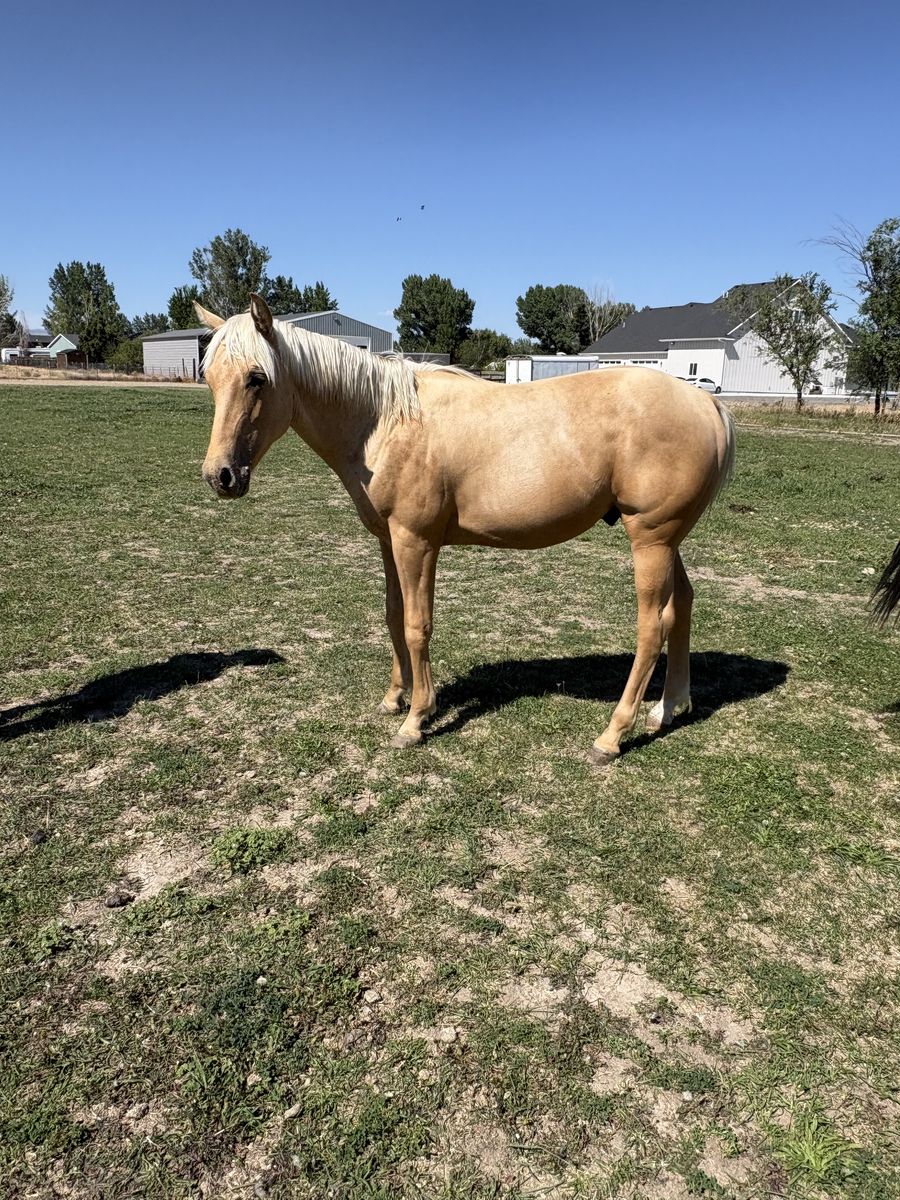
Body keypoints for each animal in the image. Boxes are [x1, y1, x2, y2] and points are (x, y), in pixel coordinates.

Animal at [196, 294, 735, 765]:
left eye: (257, 377)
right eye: (210, 377)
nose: (220, 476)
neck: (384, 422)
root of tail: (705, 404)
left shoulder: (416, 543)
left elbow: (417, 625)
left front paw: (416, 718)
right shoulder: (388, 542)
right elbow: (393, 616)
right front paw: (394, 697)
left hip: (650, 540)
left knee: (652, 627)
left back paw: (612, 735)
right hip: (667, 541)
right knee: (682, 607)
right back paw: (668, 708)